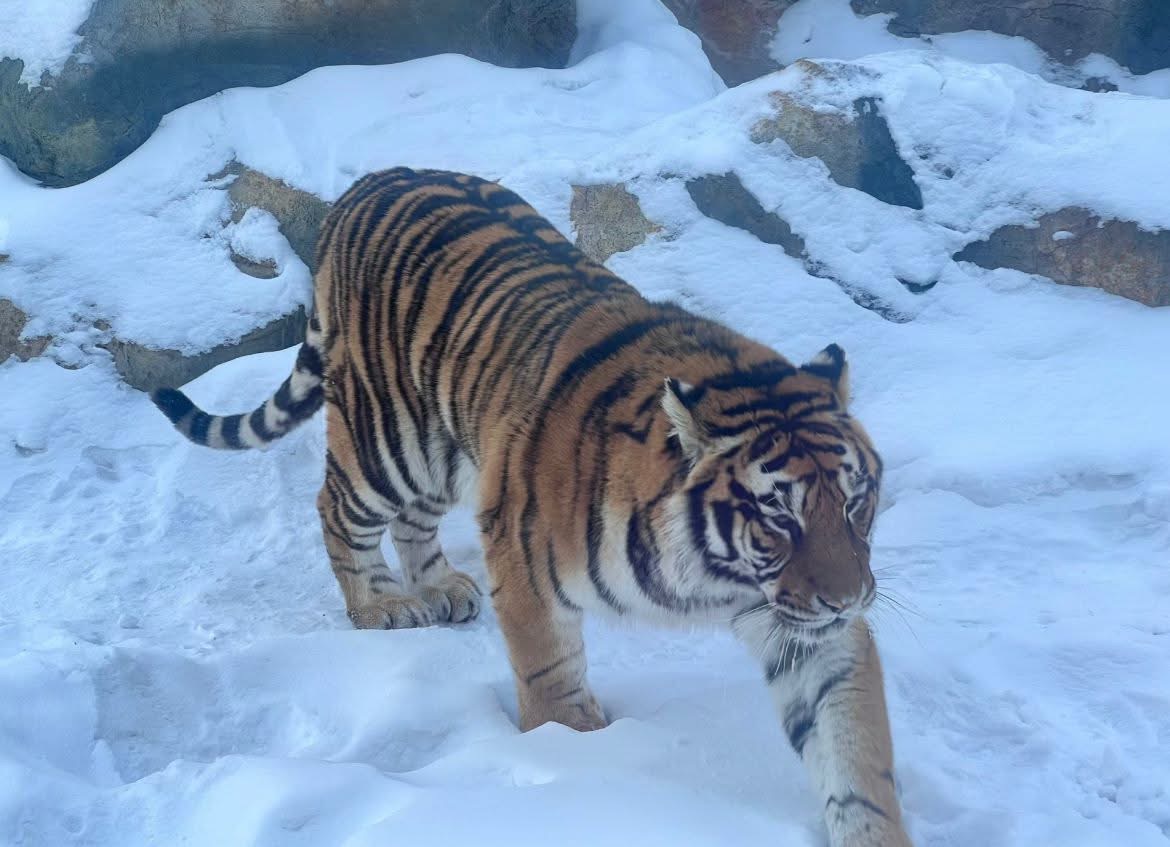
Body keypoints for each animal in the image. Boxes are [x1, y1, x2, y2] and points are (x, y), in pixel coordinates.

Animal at [153, 167, 912, 847]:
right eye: (779, 514)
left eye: (856, 502)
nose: (850, 598)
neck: (707, 574)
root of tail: (363, 186)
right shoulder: (527, 569)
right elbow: (551, 682)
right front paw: (577, 767)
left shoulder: (806, 627)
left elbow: (855, 752)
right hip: (387, 446)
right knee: (337, 507)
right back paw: (382, 606)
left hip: (449, 454)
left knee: (414, 522)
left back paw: (439, 588)